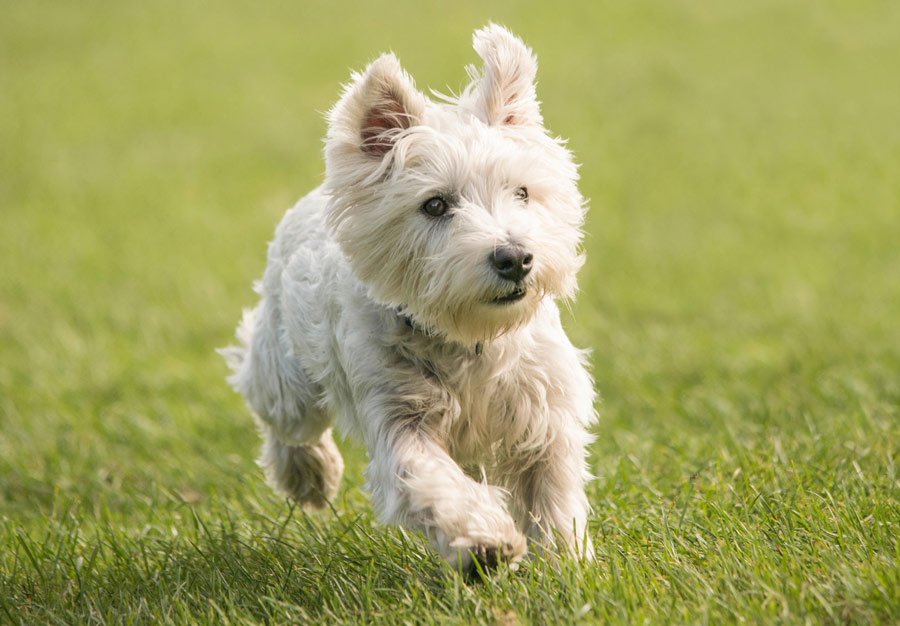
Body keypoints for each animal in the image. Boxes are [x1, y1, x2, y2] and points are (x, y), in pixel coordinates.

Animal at [221, 24, 596, 576]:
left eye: (523, 192)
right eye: (435, 205)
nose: (515, 258)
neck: (469, 338)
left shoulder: (544, 413)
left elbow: (553, 495)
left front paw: (568, 564)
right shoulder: (398, 417)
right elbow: (432, 480)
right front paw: (484, 540)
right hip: (286, 373)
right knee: (275, 404)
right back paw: (311, 476)